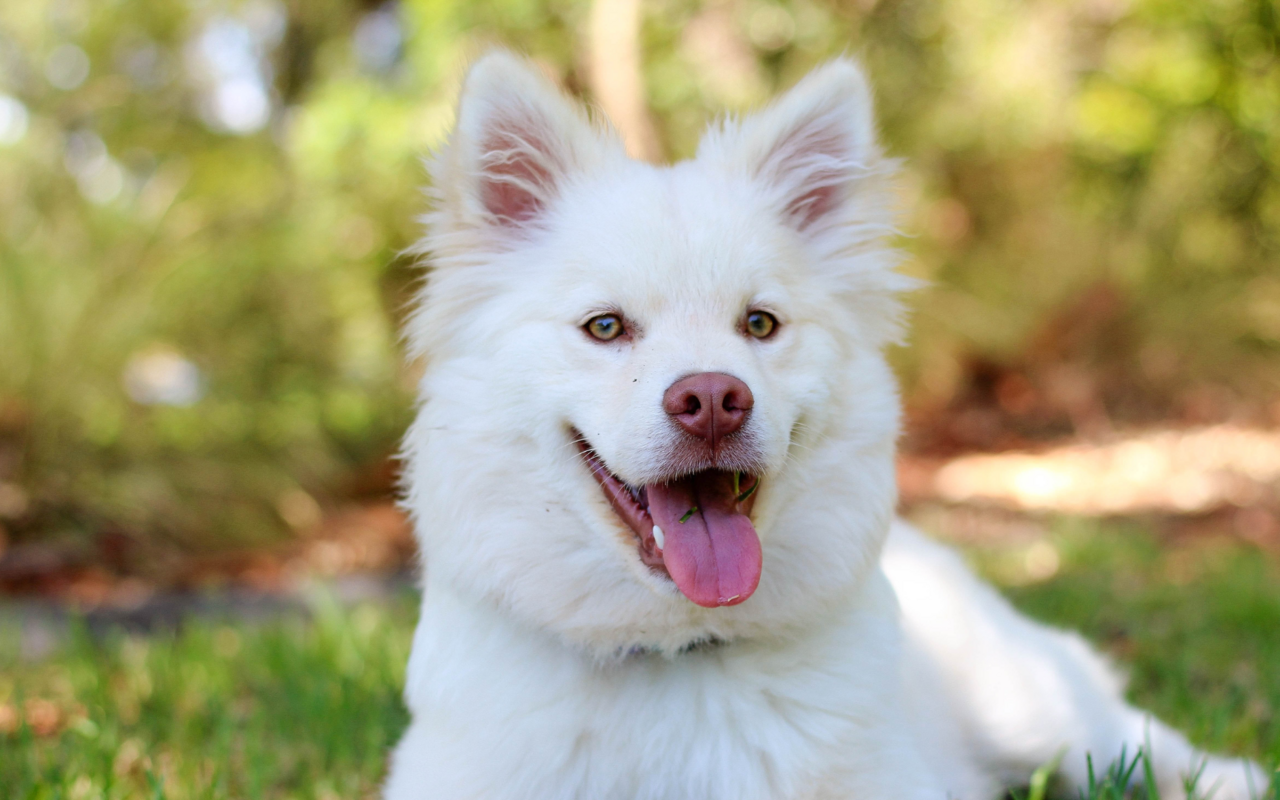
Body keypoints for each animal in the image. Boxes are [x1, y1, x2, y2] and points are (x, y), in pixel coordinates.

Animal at [384, 51, 1264, 798]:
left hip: (1034, 708)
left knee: (1135, 738)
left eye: (760, 324)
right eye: (605, 327)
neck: (679, 651)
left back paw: (1233, 779)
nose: (713, 399)